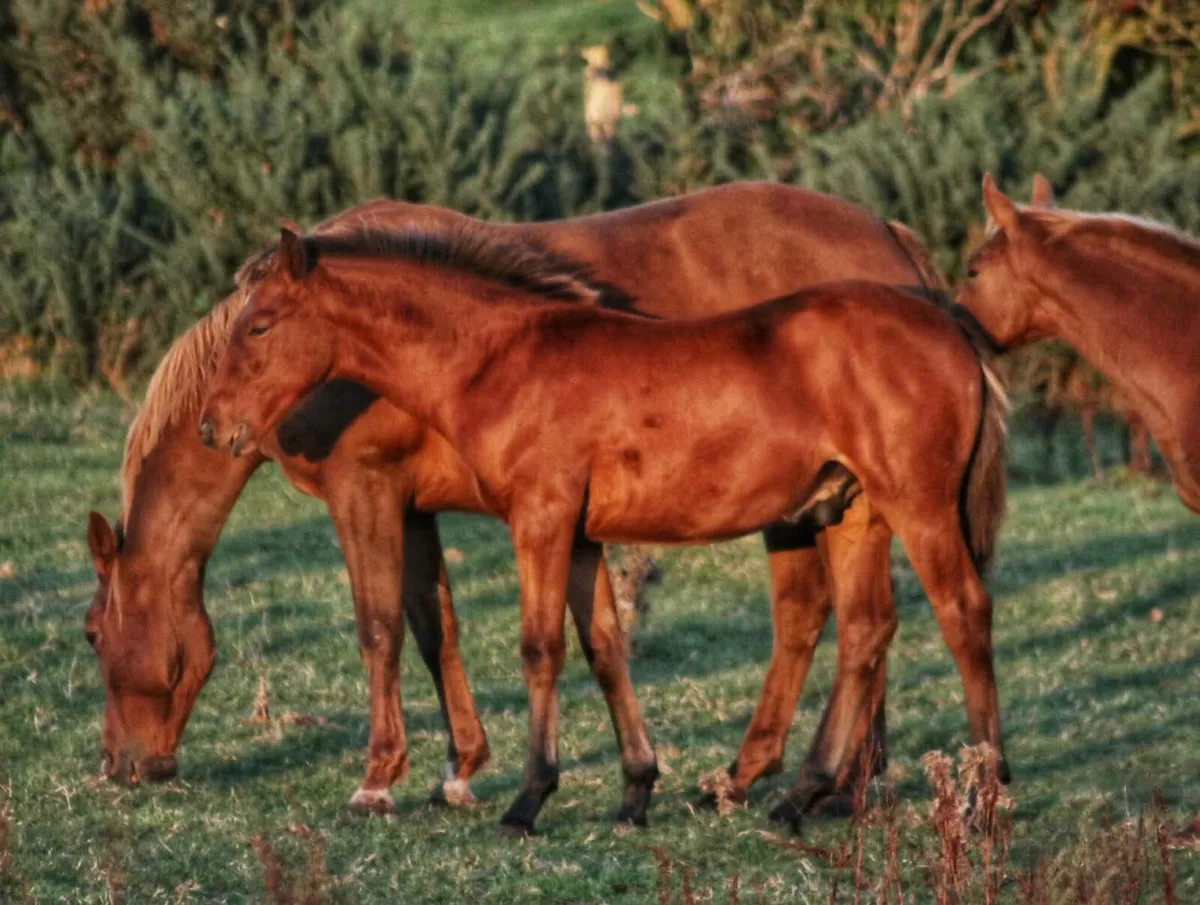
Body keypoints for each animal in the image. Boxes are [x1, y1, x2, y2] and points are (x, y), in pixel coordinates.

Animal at [84, 183, 947, 818]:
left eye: (92, 635)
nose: (122, 766)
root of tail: (893, 235)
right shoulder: (416, 507)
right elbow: (436, 626)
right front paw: (459, 768)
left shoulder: (366, 489)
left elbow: (378, 628)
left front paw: (380, 777)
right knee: (823, 620)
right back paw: (791, 778)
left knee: (817, 618)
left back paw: (829, 785)